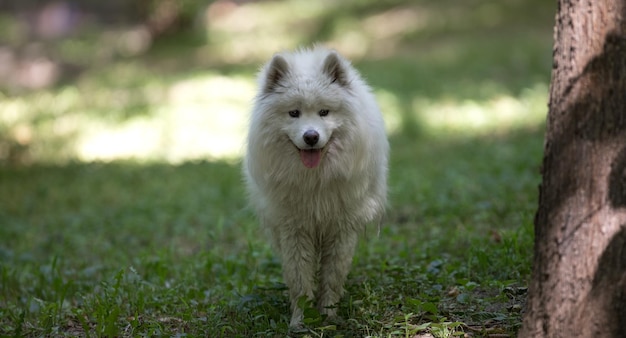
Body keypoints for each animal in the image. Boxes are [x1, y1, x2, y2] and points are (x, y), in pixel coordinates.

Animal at [243, 46, 386, 328]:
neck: (315, 180)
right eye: (294, 113)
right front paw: (301, 320)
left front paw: (328, 315)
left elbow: (332, 276)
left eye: (324, 112)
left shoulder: (341, 228)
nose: (311, 136)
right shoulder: (295, 229)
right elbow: (299, 279)